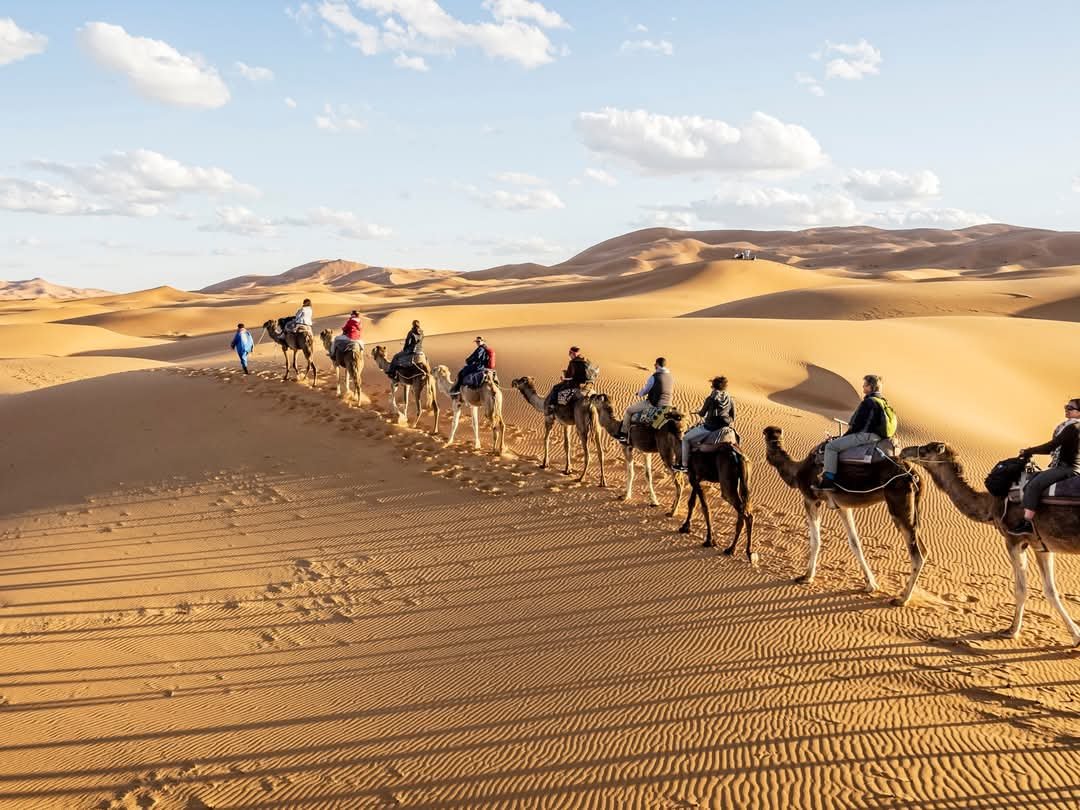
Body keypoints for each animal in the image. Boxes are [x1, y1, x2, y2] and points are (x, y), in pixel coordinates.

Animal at [763, 425, 926, 606]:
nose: (773, 436)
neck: (797, 472)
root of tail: (915, 476)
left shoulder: (810, 499)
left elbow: (815, 541)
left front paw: (806, 577)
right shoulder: (842, 506)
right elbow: (855, 542)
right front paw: (870, 584)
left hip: (898, 504)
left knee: (917, 555)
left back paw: (902, 599)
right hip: (912, 509)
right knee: (923, 550)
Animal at [901, 442, 1080, 646]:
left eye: (925, 450)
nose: (904, 451)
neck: (990, 505)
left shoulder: (1013, 540)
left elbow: (1021, 589)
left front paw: (1011, 631)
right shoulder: (1040, 545)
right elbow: (1051, 591)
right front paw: (1076, 635)